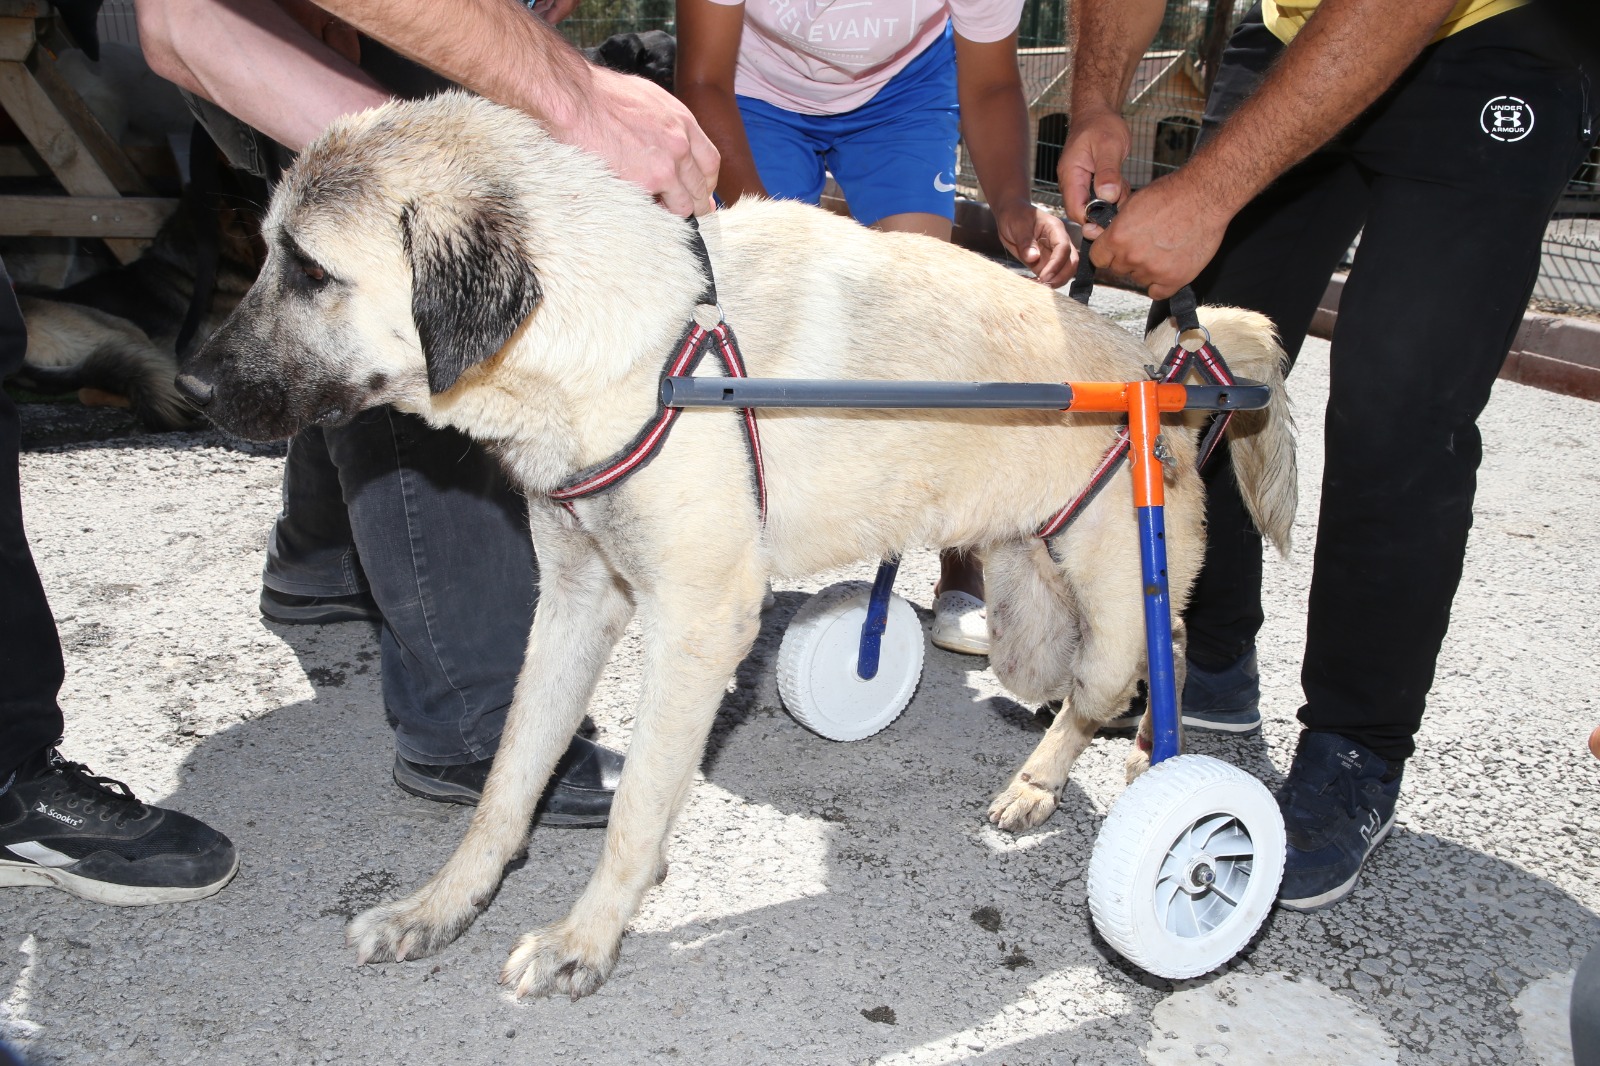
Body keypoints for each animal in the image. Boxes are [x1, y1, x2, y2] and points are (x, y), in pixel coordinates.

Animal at [178, 91, 1299, 998]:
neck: (638, 340)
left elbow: (637, 807)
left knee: (1128, 669)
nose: (188, 385)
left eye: (310, 269)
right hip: (1031, 589)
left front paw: (586, 938)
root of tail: (1165, 369)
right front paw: (442, 905)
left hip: (1107, 598)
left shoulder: (698, 625)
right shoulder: (575, 605)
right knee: (1116, 661)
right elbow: (505, 784)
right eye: (270, 252)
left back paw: (1110, 786)